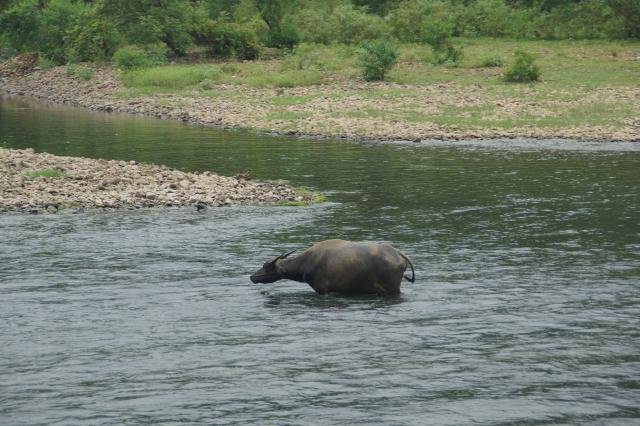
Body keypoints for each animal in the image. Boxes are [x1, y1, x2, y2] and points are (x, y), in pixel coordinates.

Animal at [250, 240, 416, 296]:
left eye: (267, 267)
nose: (252, 277)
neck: (305, 263)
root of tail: (400, 255)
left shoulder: (322, 289)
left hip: (393, 288)